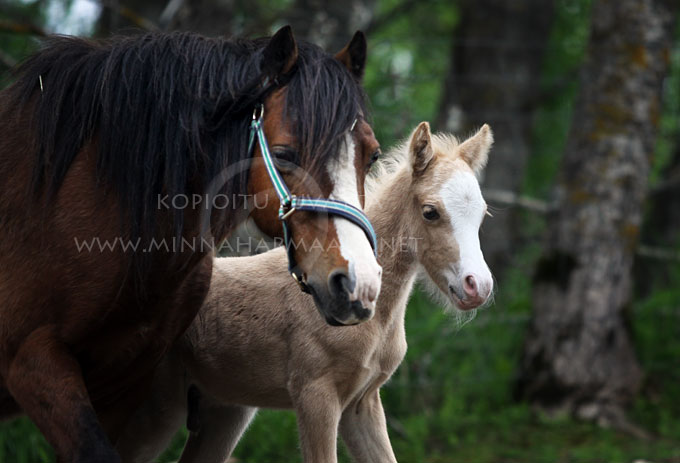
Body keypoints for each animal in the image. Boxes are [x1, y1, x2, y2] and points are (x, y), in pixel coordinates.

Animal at [115, 122, 494, 463]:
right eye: (430, 212)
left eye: (482, 213)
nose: (478, 285)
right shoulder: (315, 395)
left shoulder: (362, 403)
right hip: (151, 411)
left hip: (222, 411)